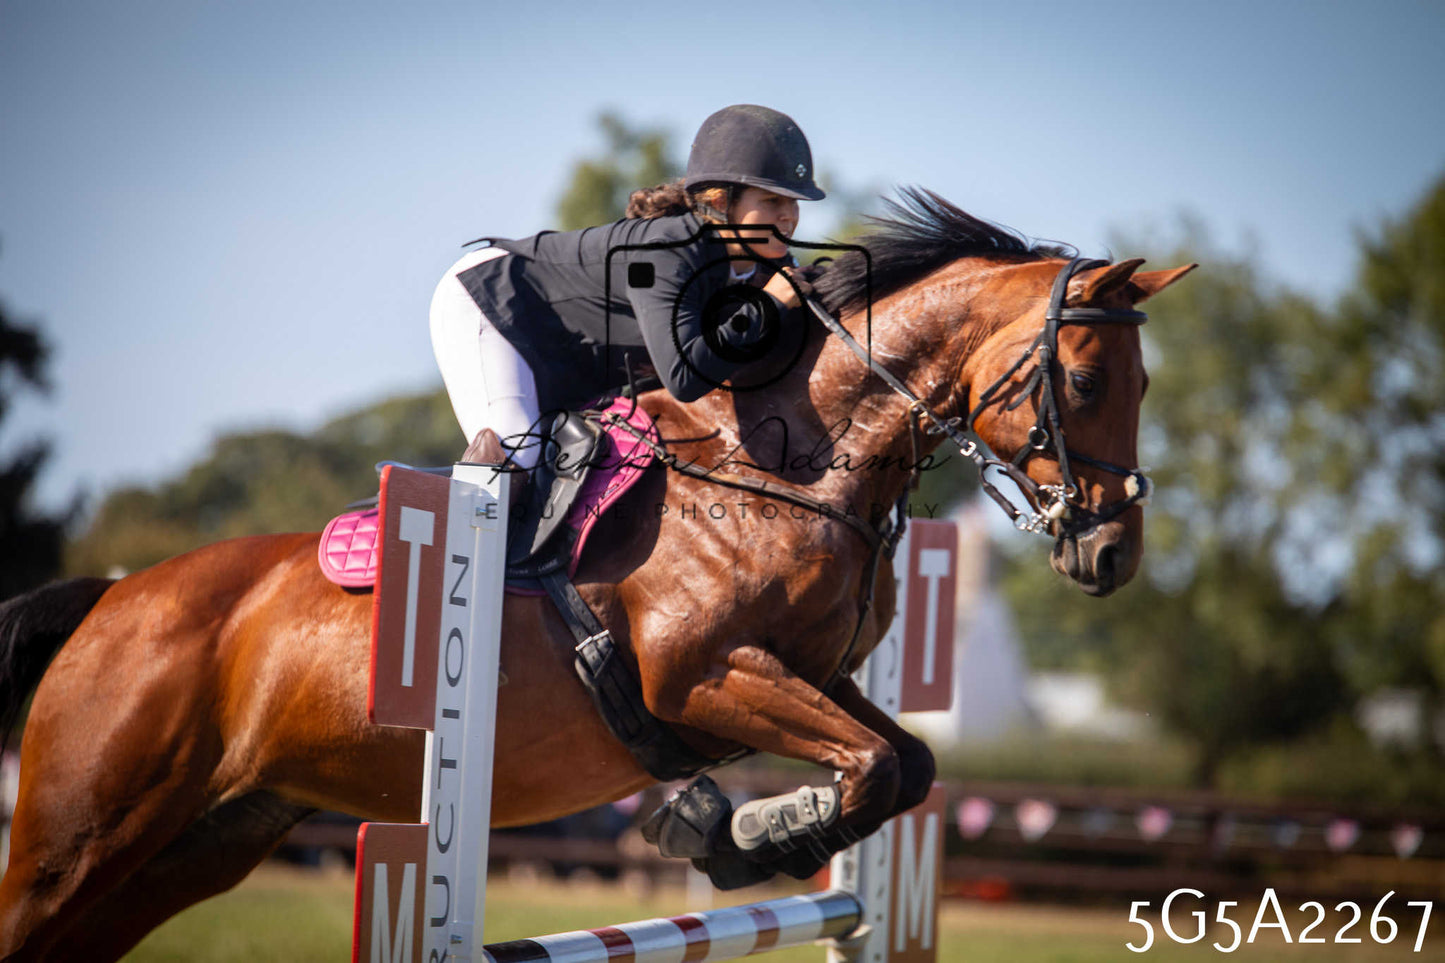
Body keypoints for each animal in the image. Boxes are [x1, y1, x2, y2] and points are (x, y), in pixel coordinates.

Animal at [0, 189, 1193, 960]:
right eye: (1086, 379)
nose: (1109, 553)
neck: (784, 463)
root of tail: (113, 597)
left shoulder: (812, 676)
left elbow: (904, 763)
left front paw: (736, 831)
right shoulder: (700, 676)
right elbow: (872, 767)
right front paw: (727, 832)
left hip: (198, 843)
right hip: (81, 838)